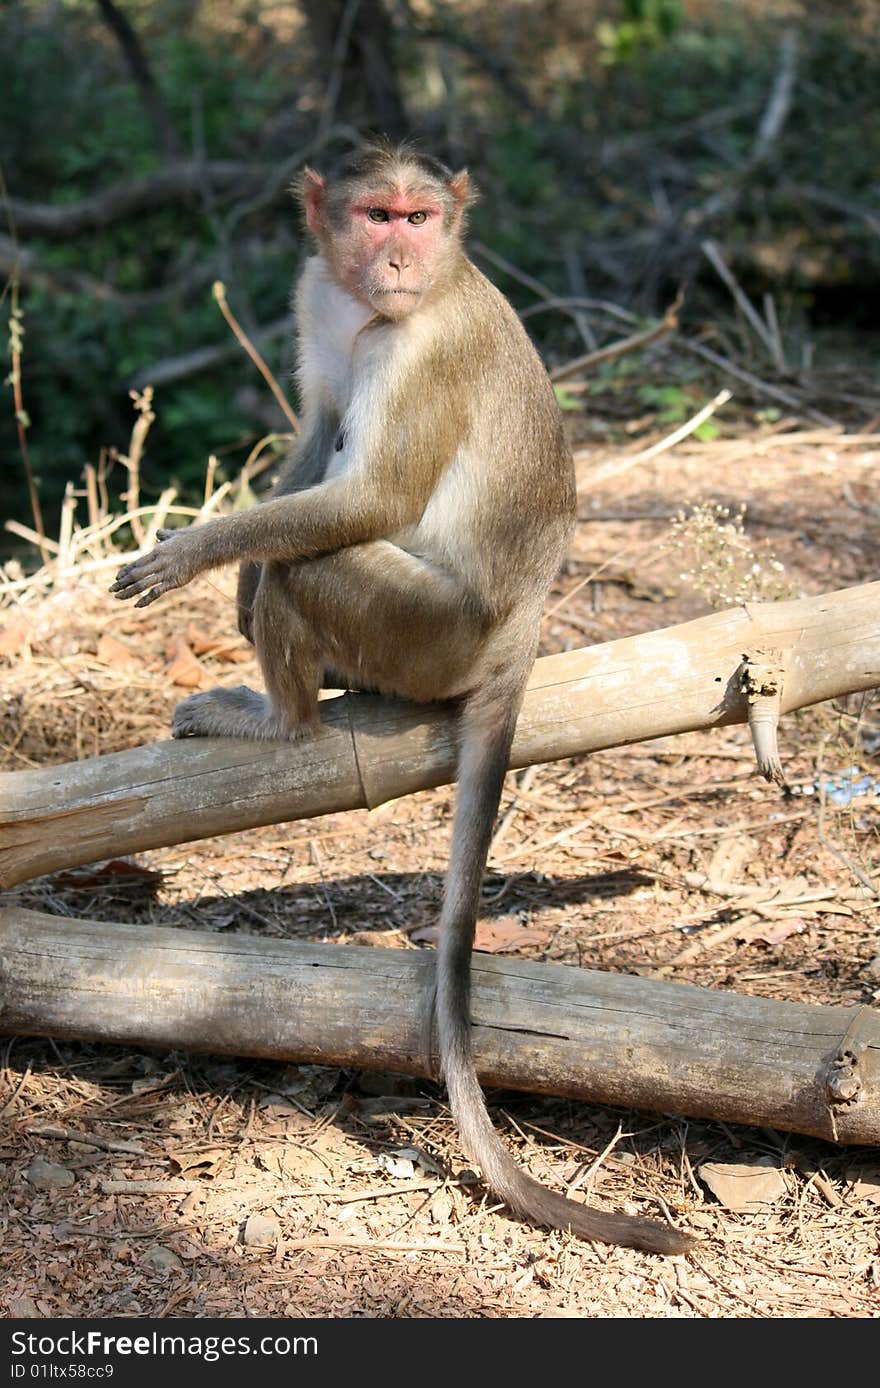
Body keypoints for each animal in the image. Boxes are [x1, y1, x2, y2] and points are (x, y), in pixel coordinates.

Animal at [109, 140, 688, 1260]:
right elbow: (317, 429)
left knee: (316, 568)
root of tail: (520, 628)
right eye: (376, 214)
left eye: (420, 217)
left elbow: (367, 499)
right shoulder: (317, 294)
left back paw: (283, 722)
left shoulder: (426, 345)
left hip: (431, 633)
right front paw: (234, 575)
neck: (374, 307)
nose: (398, 258)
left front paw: (198, 554)